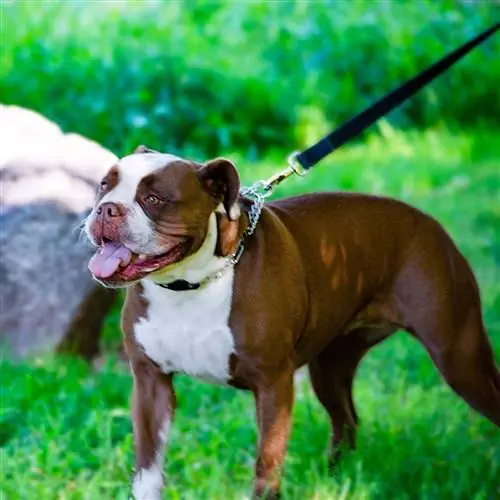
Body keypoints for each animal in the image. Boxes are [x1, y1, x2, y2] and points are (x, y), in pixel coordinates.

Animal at [85, 146, 500, 500]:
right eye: (104, 185)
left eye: (154, 199)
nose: (106, 210)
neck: (190, 284)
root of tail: (429, 222)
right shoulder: (151, 383)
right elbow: (148, 471)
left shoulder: (273, 385)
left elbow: (266, 465)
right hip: (331, 368)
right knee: (346, 421)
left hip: (460, 358)